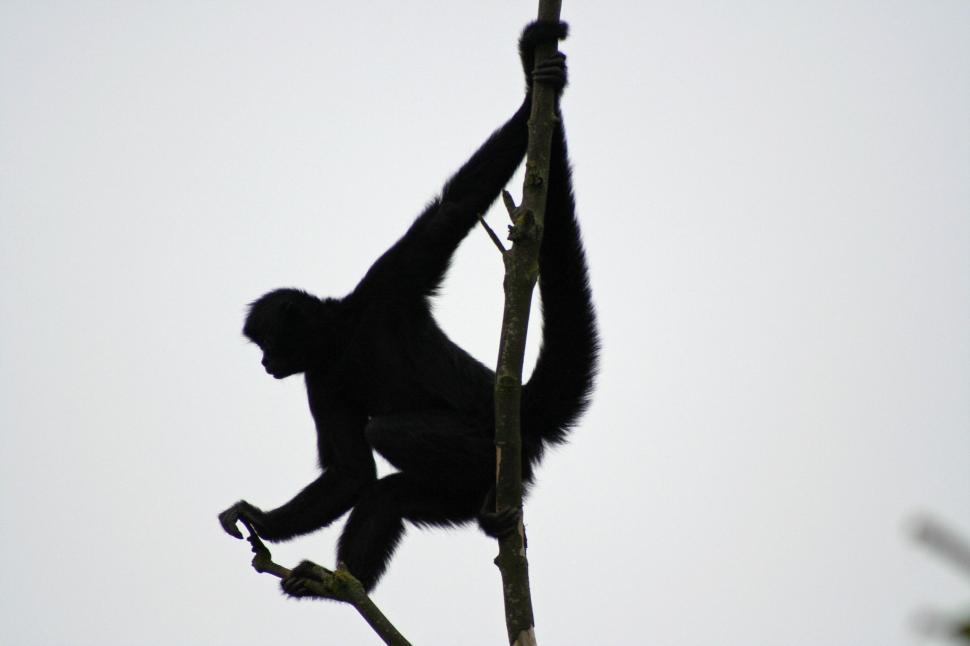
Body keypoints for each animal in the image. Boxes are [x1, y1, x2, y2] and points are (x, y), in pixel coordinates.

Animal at [218, 21, 597, 594]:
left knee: (386, 431)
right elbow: (351, 477)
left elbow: (456, 206)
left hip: (499, 444)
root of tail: (521, 407)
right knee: (388, 495)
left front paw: (533, 85)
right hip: (455, 493)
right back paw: (337, 587)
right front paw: (259, 518)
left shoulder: (388, 280)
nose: (265, 363)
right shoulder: (321, 378)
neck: (345, 334)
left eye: (266, 344)